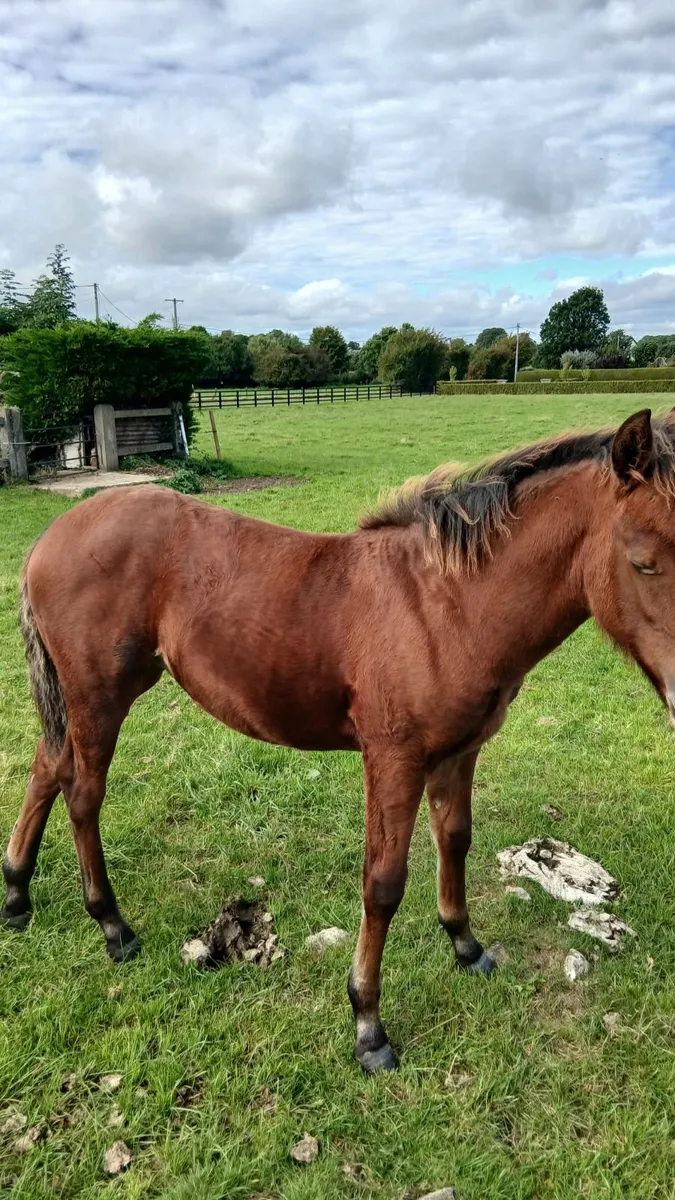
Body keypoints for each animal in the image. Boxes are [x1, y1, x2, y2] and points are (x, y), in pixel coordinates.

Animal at [3, 407, 673, 1073]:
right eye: (643, 561)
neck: (447, 607)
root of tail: (50, 536)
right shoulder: (393, 757)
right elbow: (383, 883)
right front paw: (368, 1026)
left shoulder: (460, 751)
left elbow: (455, 841)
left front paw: (466, 945)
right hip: (100, 696)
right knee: (82, 795)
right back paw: (112, 926)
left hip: (92, 694)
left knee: (47, 766)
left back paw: (16, 895)